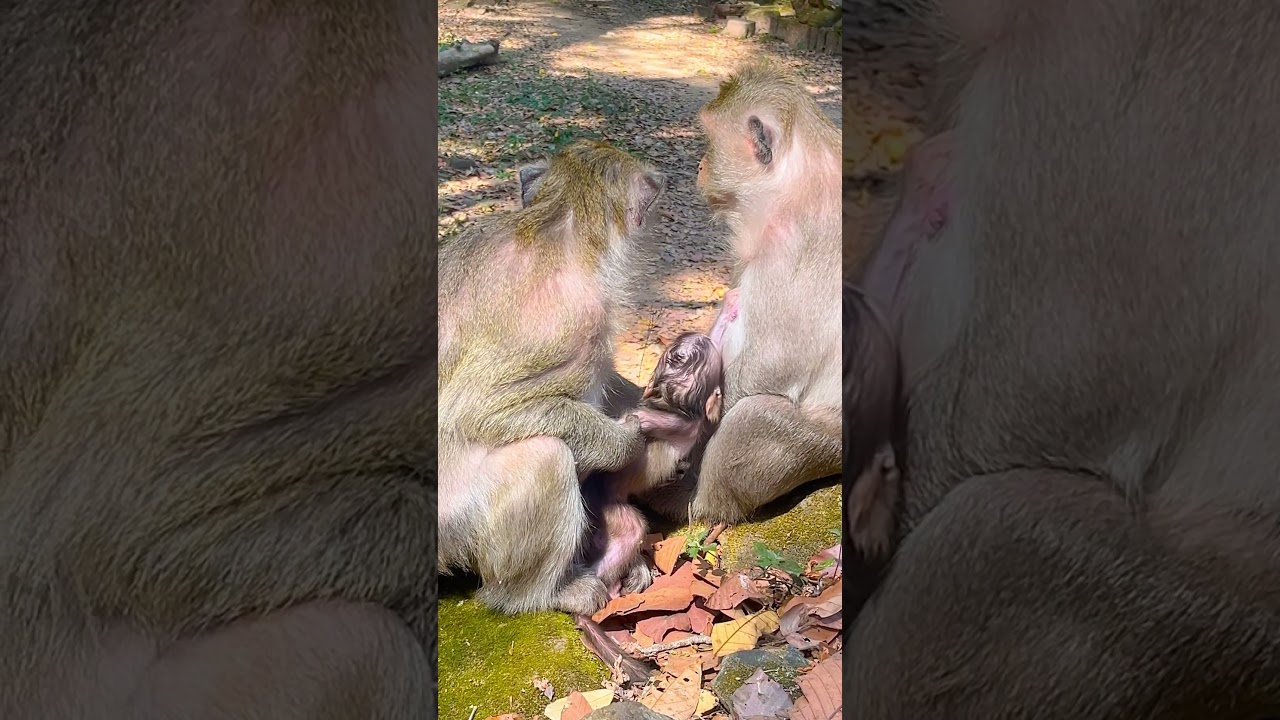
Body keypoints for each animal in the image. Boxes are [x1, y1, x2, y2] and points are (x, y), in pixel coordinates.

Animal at [438, 140, 664, 617]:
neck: (557, 223)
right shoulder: (572, 319)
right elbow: (480, 410)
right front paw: (624, 441)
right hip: (455, 526)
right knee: (544, 456)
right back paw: (542, 593)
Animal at [643, 59, 842, 525]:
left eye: (711, 141)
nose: (700, 165)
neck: (799, 184)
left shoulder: (797, 244)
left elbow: (774, 363)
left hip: (826, 447)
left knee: (755, 416)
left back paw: (695, 504)